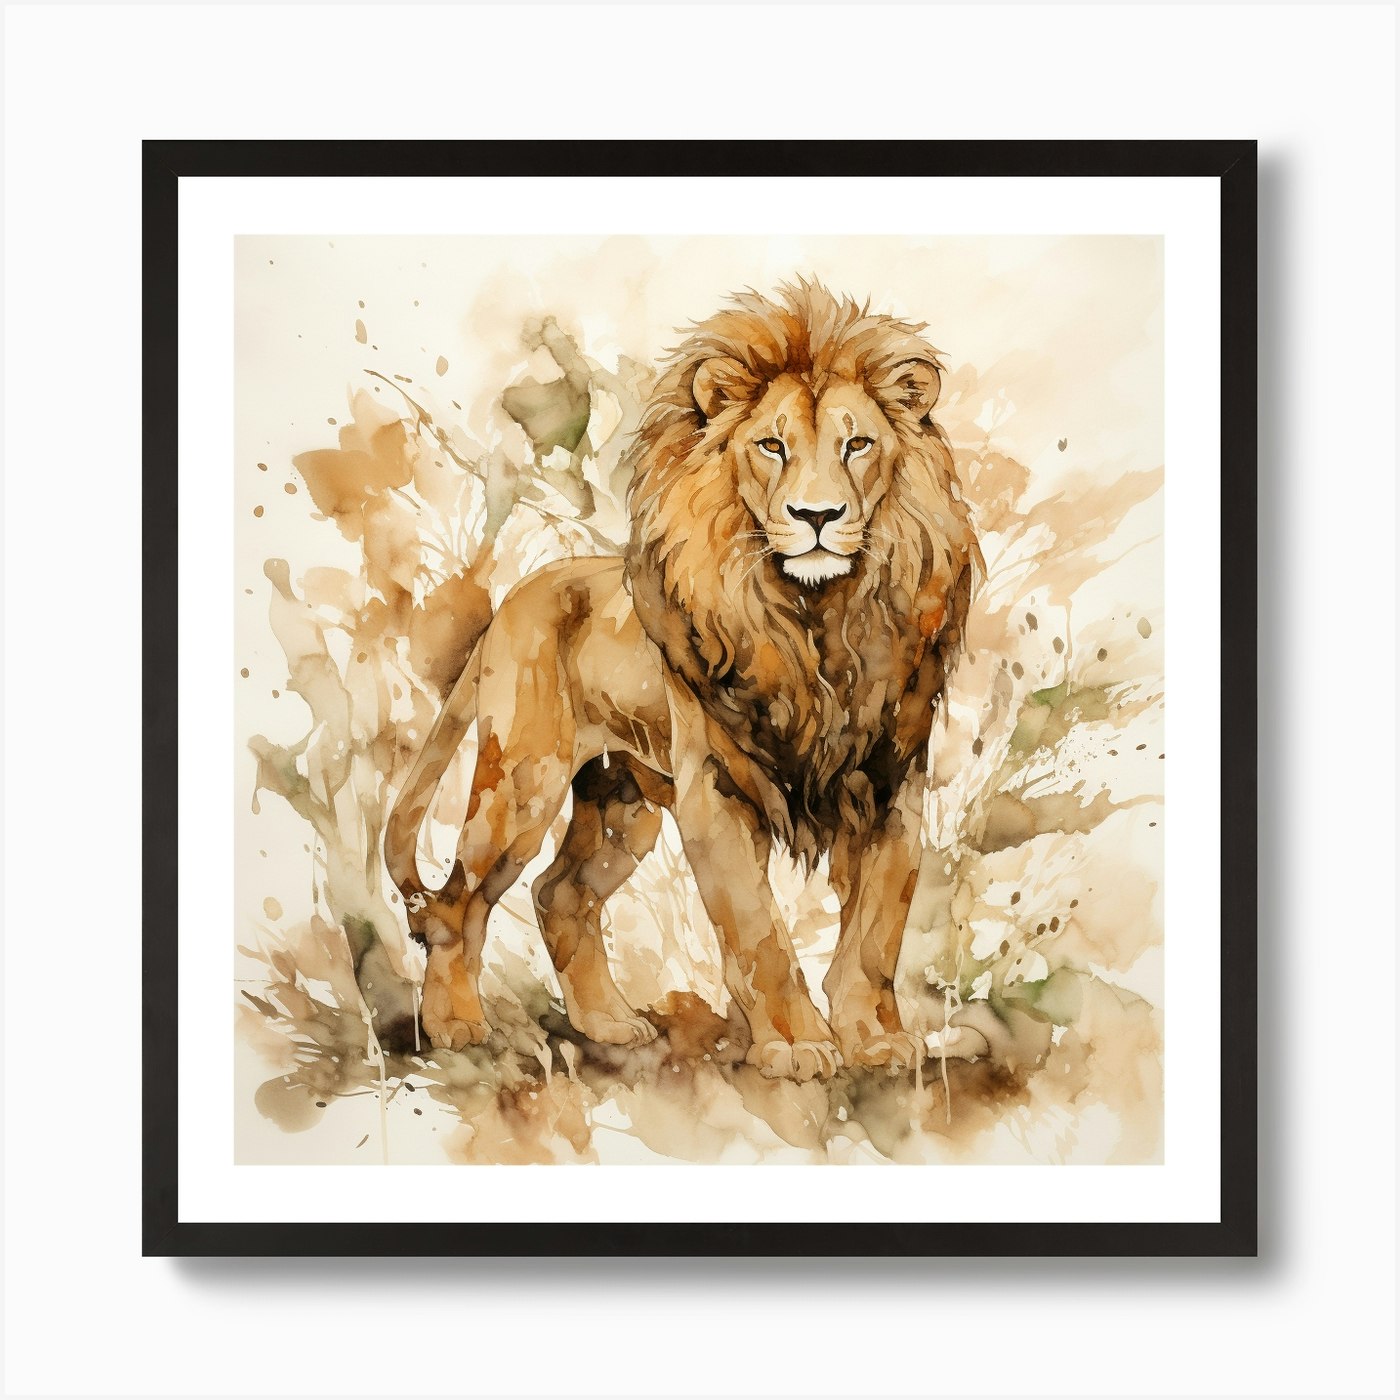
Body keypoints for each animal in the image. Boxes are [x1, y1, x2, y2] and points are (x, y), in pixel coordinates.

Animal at [384, 280, 978, 1081]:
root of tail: (516, 596)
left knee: (559, 895)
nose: (817, 515)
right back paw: (455, 1027)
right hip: (523, 784)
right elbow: (759, 933)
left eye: (858, 445)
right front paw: (797, 1046)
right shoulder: (716, 790)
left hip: (621, 799)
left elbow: (876, 935)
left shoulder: (891, 786)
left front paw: (874, 1039)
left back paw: (608, 1024)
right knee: (459, 903)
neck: (817, 619)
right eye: (771, 446)